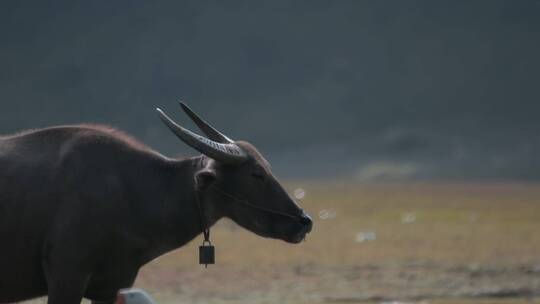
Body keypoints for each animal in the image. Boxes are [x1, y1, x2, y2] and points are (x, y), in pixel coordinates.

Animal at [0, 103, 312, 302]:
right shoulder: (66, 275)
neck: (132, 191)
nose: (304, 221)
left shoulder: (112, 286)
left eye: (267, 167)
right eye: (256, 174)